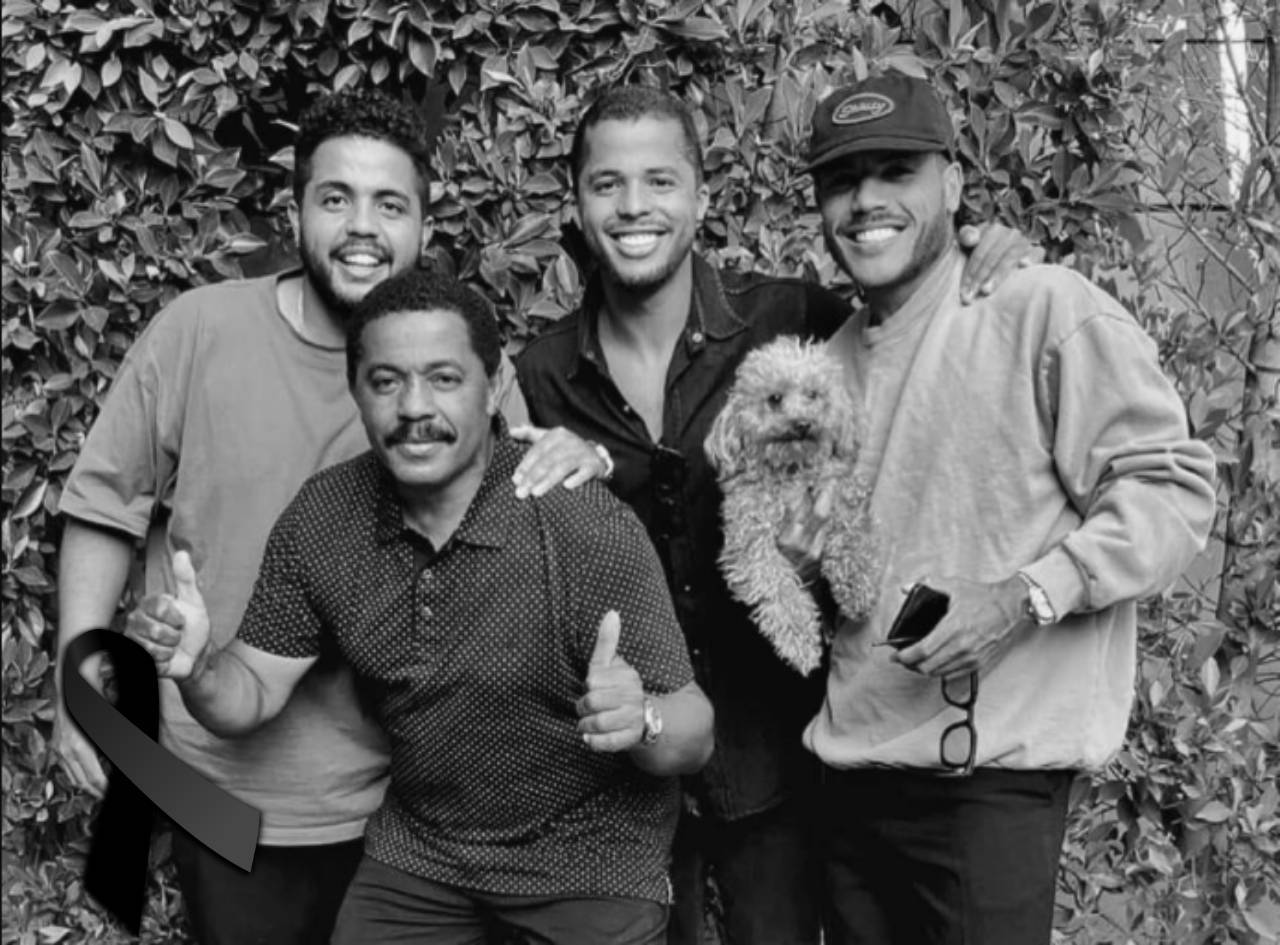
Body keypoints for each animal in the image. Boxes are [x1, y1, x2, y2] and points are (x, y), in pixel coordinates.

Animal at [705, 336, 880, 674]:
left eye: (813, 394)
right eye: (774, 399)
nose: (803, 423)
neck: (791, 470)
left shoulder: (839, 494)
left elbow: (850, 539)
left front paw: (857, 586)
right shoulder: (751, 542)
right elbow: (779, 589)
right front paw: (801, 643)